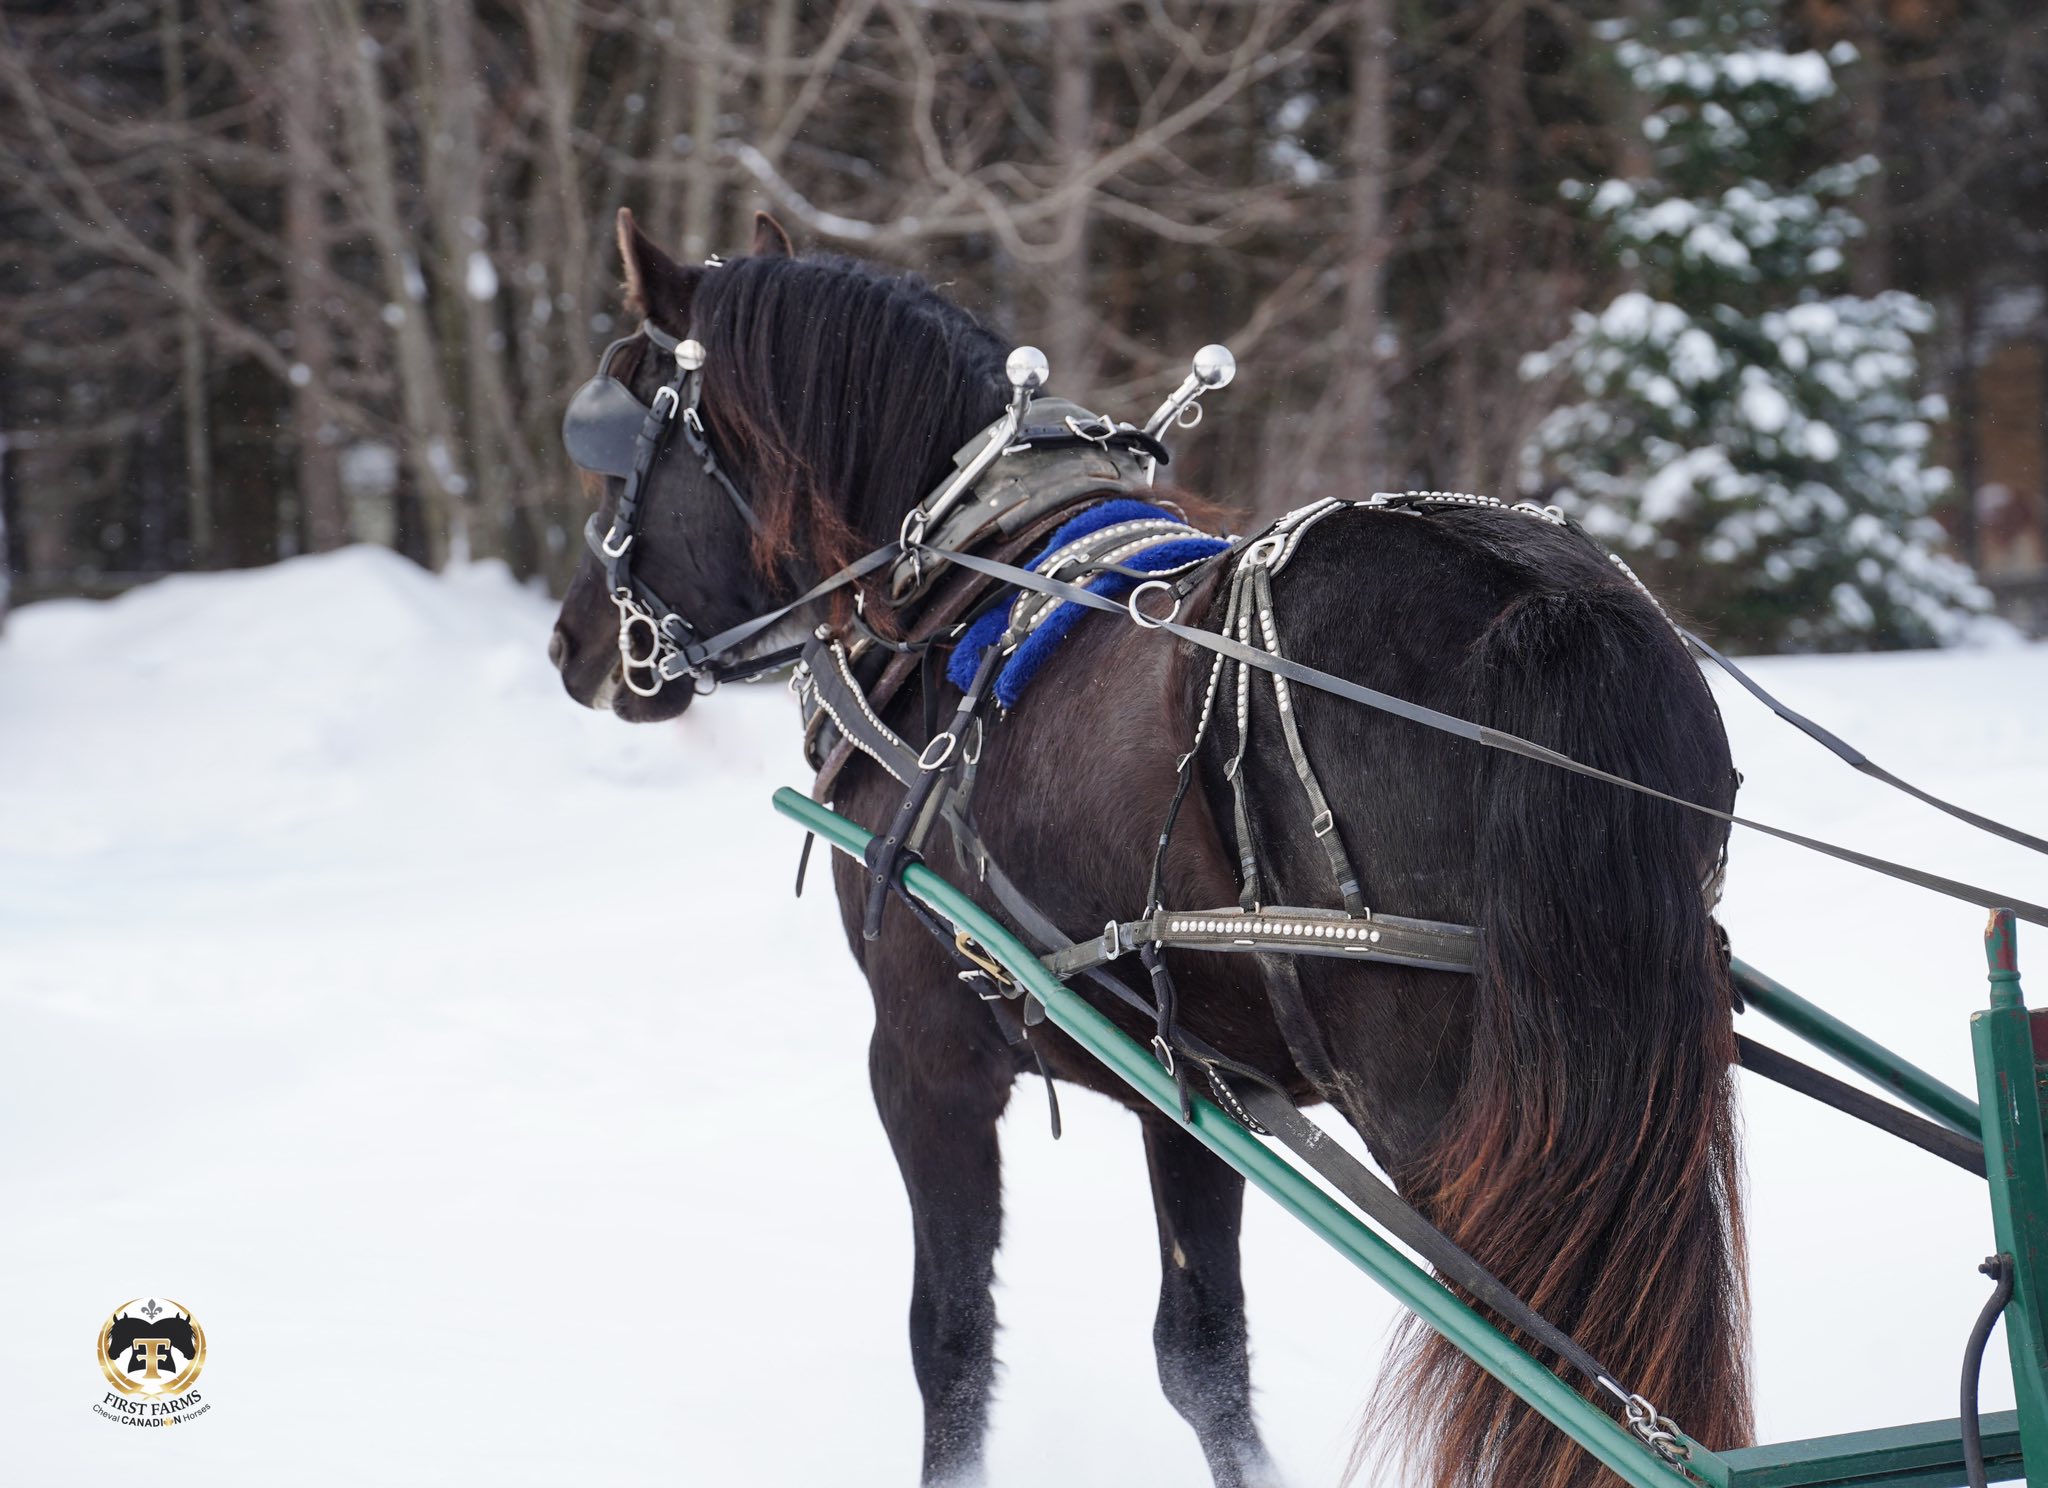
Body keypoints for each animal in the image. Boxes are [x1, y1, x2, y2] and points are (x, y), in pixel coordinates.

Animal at [550, 208, 1751, 1488]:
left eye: (619, 431)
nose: (571, 645)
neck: (950, 572)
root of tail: (1541, 604)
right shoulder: (1194, 1082)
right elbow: (1202, 1356)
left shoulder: (922, 1054)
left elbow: (950, 1341)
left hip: (1447, 1119)